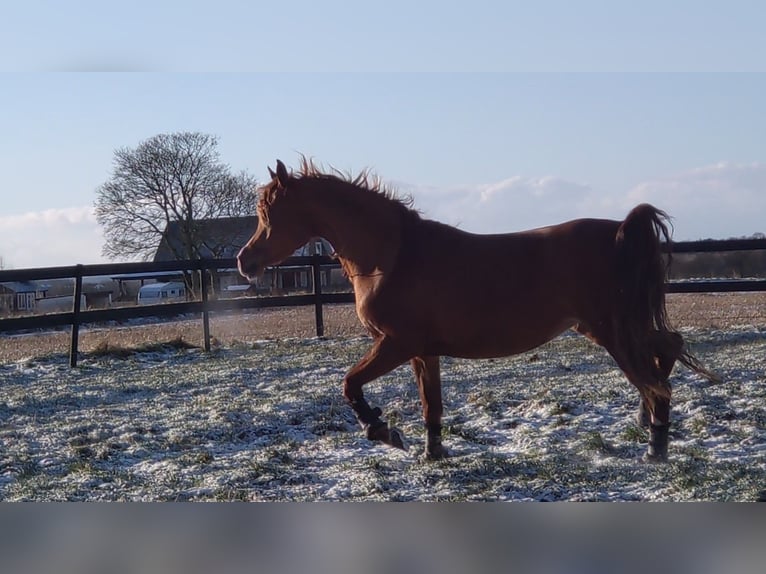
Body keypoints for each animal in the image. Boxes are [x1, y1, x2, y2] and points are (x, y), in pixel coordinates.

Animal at [237, 159, 716, 464]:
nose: (245, 261)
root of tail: (619, 231)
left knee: (657, 380)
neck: (393, 256)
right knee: (667, 351)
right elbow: (431, 406)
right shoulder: (423, 351)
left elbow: (350, 384)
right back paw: (646, 421)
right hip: (613, 328)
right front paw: (432, 453)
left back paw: (655, 446)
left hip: (612, 331)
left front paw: (384, 432)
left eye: (271, 212)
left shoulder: (396, 344)